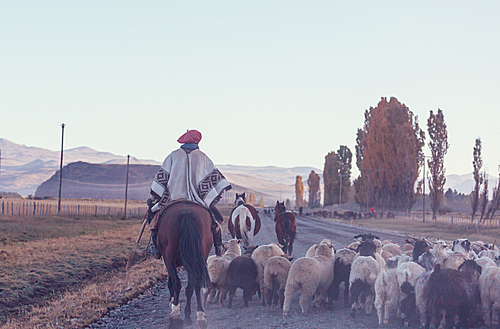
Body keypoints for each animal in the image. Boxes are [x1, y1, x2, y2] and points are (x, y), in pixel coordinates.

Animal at [156, 200, 211, 328]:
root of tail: (186, 213)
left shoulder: (168, 260)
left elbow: (172, 282)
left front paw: (173, 305)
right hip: (199, 256)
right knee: (194, 283)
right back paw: (199, 315)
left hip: (169, 257)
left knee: (177, 283)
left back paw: (176, 313)